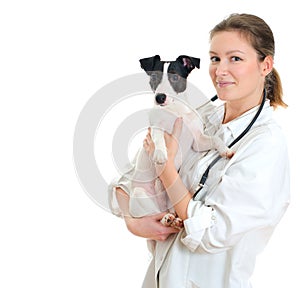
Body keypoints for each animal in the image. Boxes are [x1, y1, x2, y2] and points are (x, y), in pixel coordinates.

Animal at [122, 55, 232, 228]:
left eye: (175, 77)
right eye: (154, 78)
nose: (159, 97)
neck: (175, 110)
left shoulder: (198, 141)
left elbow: (215, 138)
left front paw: (225, 149)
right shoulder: (156, 127)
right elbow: (159, 137)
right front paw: (160, 154)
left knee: (169, 210)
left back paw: (175, 219)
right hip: (142, 195)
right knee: (156, 215)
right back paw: (166, 219)